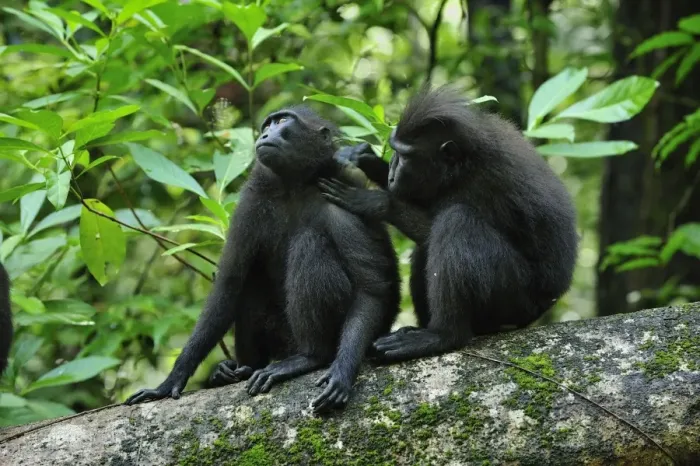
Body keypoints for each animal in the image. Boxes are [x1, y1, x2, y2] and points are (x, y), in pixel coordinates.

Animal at [126, 106, 400, 412]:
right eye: (267, 125)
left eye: (282, 121)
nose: (265, 135)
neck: (295, 186)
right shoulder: (250, 204)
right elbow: (229, 284)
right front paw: (169, 382)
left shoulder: (342, 203)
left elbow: (371, 288)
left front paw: (342, 371)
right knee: (250, 283)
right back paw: (237, 370)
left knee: (310, 243)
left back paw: (309, 357)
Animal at [318, 85, 579, 363]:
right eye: (394, 150)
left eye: (405, 156)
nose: (392, 172)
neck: (465, 163)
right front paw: (364, 158)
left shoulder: (483, 184)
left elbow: (435, 223)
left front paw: (375, 202)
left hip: (515, 300)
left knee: (455, 222)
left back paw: (442, 335)